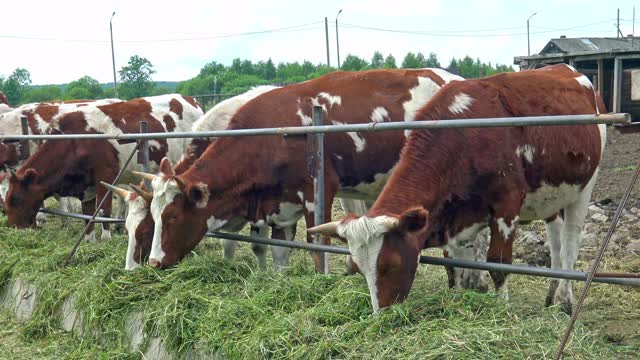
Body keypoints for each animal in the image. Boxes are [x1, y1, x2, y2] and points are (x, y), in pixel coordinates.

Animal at [3, 95, 202, 240]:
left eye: (16, 199)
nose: (13, 228)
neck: (75, 141)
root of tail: (189, 99)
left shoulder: (106, 175)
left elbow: (104, 209)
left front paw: (106, 237)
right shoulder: (85, 184)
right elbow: (88, 213)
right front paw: (89, 239)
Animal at [139, 68, 460, 270]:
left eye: (172, 217)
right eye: (153, 217)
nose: (153, 263)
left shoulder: (318, 191)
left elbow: (318, 243)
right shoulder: (275, 204)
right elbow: (273, 248)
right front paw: (273, 278)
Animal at [308, 64, 608, 316]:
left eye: (390, 264)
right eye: (358, 268)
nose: (381, 315)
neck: (465, 137)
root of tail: (569, 70)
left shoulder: (507, 205)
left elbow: (498, 263)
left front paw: (501, 307)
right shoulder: (460, 217)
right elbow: (458, 263)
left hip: (585, 187)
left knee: (570, 244)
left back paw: (566, 302)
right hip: (552, 197)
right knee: (556, 242)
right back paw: (551, 297)